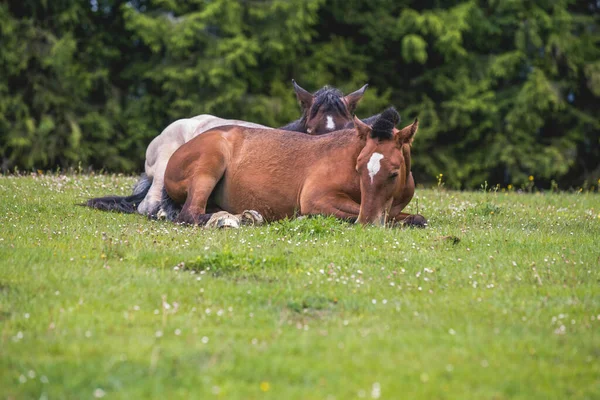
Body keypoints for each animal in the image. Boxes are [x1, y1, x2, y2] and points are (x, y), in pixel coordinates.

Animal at [157, 107, 424, 228]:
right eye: (359, 168)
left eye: (394, 173)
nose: (367, 223)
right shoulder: (316, 199)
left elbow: (417, 218)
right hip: (209, 167)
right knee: (190, 213)